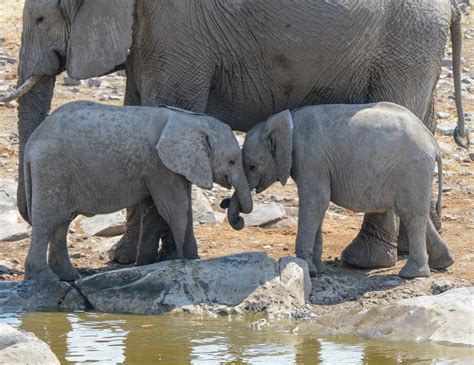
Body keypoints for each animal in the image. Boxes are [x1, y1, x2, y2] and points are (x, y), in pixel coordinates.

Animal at [23, 101, 252, 280]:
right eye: (232, 162)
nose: (226, 203)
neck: (188, 119)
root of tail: (31, 141)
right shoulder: (159, 165)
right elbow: (175, 208)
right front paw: (187, 260)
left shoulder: (168, 166)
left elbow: (158, 210)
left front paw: (149, 264)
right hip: (52, 169)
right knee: (47, 220)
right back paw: (45, 278)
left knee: (62, 222)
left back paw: (69, 277)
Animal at [230, 101, 456, 278]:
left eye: (252, 166)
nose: (239, 219)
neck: (284, 121)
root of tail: (433, 144)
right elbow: (318, 206)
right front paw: (318, 269)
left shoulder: (310, 157)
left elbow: (316, 201)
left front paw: (308, 270)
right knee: (416, 213)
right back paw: (443, 263)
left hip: (412, 168)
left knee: (411, 214)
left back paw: (411, 275)